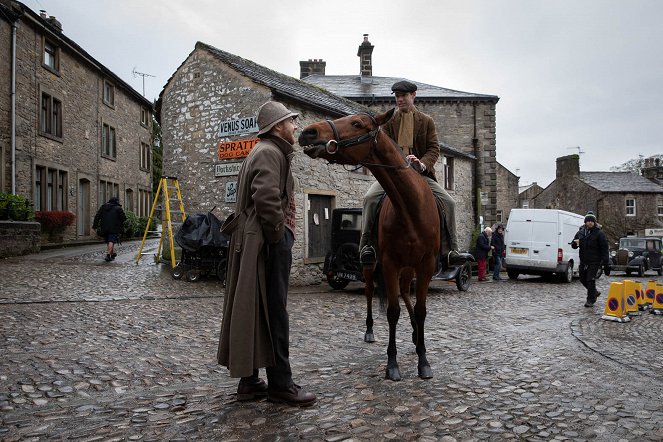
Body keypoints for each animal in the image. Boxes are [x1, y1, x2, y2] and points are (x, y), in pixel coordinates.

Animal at [300, 109, 440, 380]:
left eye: (356, 123)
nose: (308, 132)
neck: (410, 208)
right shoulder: (389, 263)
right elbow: (392, 312)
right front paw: (392, 364)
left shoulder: (425, 265)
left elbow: (421, 310)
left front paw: (423, 359)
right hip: (370, 266)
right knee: (369, 293)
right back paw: (370, 331)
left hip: (408, 268)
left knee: (405, 293)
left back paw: (415, 333)